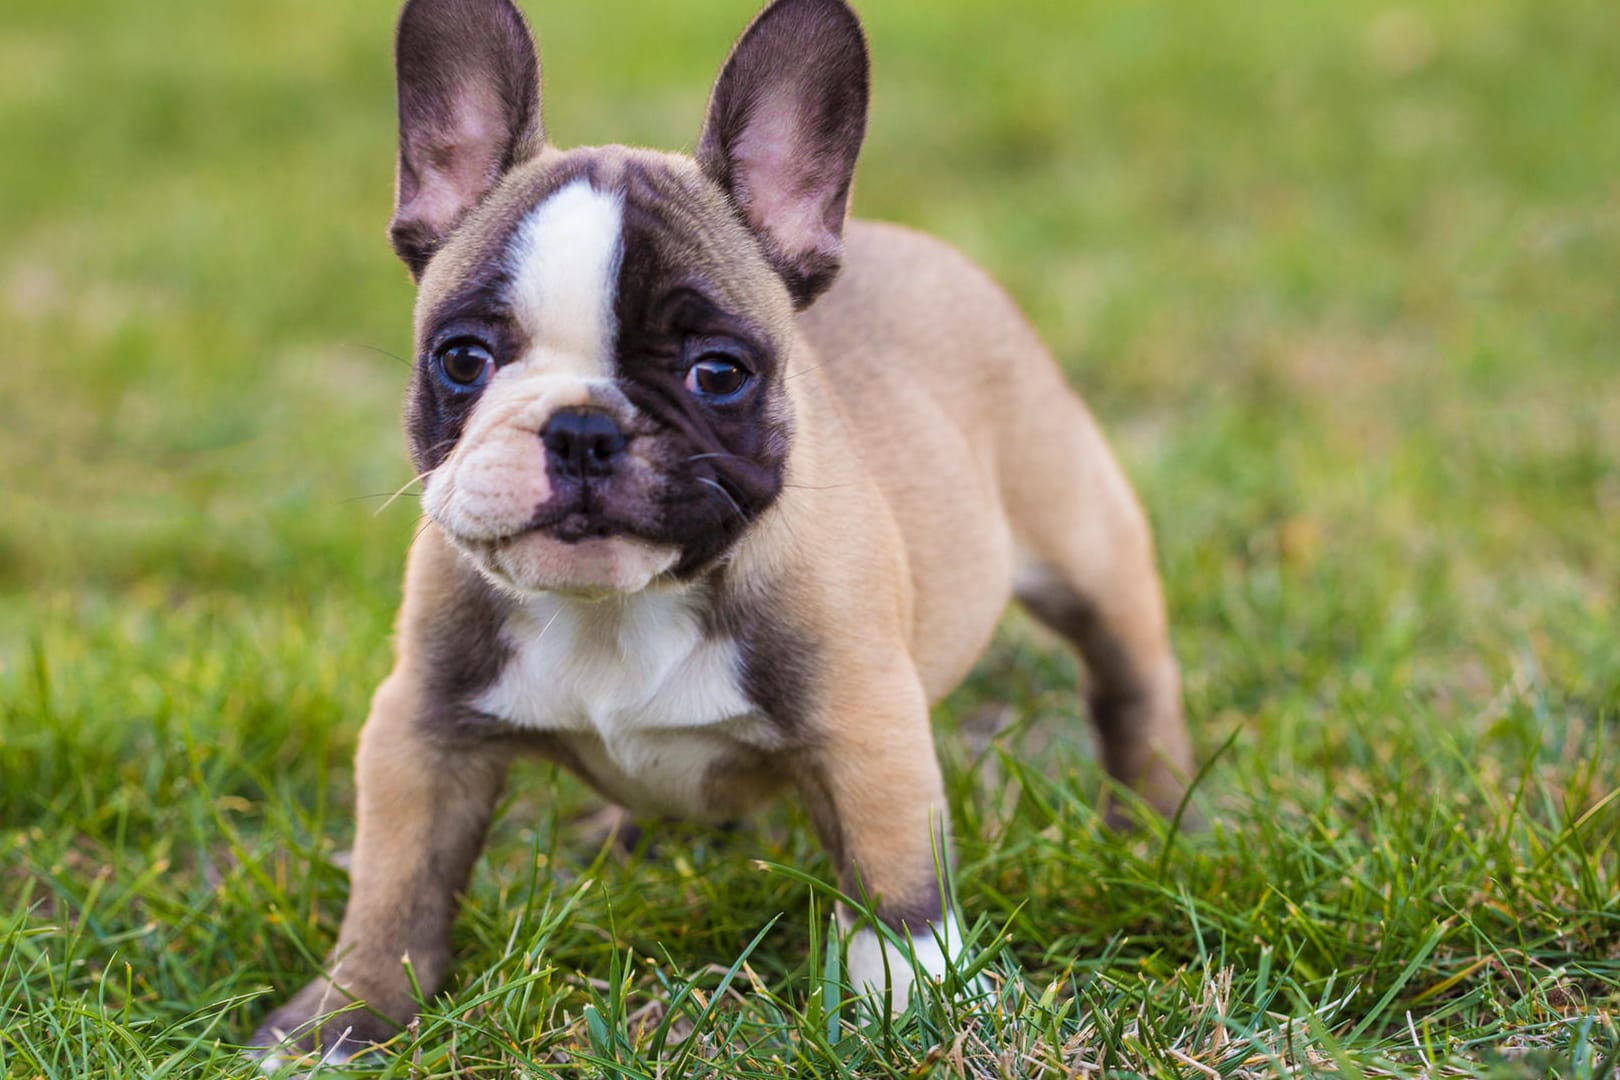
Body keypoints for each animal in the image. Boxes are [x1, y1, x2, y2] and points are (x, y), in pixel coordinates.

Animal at [249, 0, 1192, 1055]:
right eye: (461, 359)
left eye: (718, 372)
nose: (584, 429)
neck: (617, 606)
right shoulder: (422, 728)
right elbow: (396, 887)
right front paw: (338, 1022)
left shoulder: (865, 723)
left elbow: (895, 885)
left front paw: (920, 1007)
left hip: (1084, 541)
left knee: (1129, 677)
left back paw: (1155, 819)